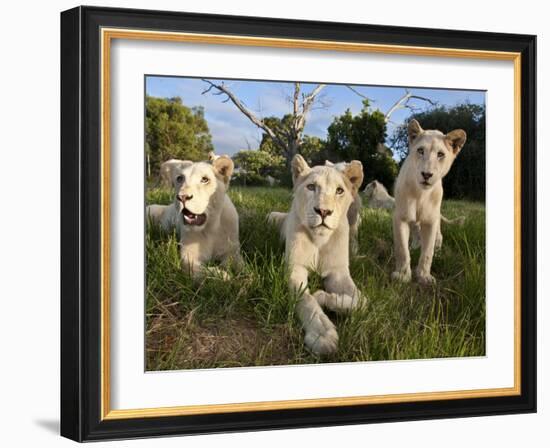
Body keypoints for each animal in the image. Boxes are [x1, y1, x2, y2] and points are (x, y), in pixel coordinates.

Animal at [268, 156, 364, 356]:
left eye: (339, 190)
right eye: (311, 187)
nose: (323, 211)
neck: (320, 240)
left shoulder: (339, 273)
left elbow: (361, 301)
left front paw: (323, 296)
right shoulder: (295, 268)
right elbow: (306, 299)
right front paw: (323, 335)